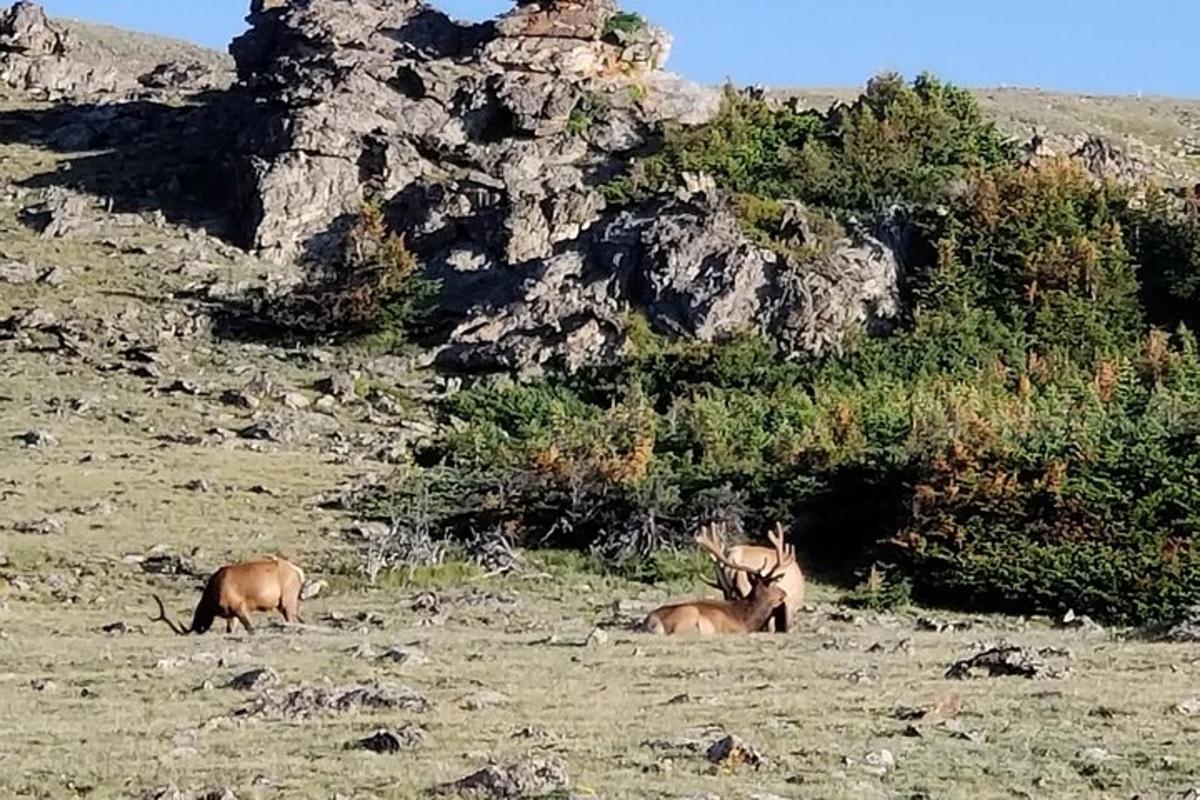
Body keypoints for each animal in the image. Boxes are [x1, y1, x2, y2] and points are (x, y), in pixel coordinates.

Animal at [150, 556, 307, 638]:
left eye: (198, 627)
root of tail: (299, 572)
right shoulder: (232, 615)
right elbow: (231, 630)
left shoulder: (239, 607)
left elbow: (251, 629)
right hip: (283, 604)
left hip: (287, 601)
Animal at [643, 525, 801, 638]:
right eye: (774, 584)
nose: (784, 593)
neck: (746, 617)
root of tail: (651, 620)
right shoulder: (733, 628)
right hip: (688, 613)